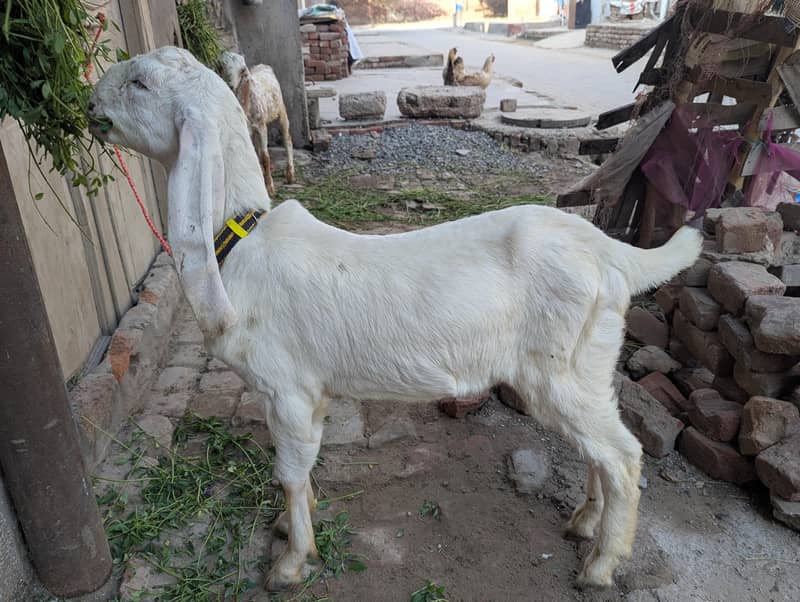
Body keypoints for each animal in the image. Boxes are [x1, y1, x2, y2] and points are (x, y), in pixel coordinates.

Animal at [218, 51, 295, 196]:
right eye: (222, 66)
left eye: (242, 70)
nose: (230, 85)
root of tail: (264, 65)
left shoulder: (261, 126)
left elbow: (265, 157)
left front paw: (270, 187)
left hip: (281, 110)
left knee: (287, 140)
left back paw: (290, 175)